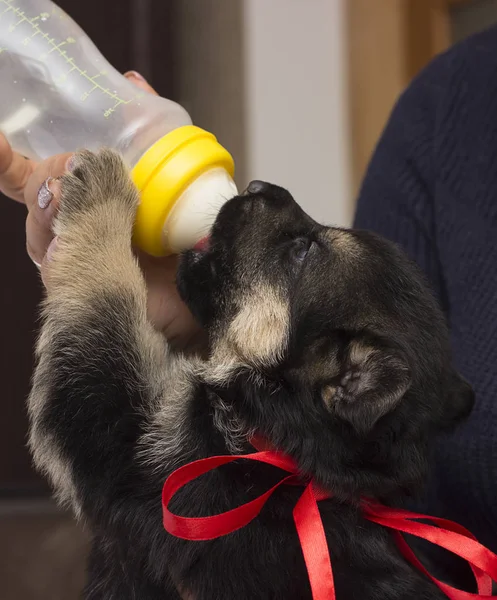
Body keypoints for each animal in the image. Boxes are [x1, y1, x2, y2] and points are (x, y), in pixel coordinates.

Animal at [27, 150, 472, 600]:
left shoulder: (125, 440)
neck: (278, 445)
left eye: (301, 251)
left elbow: (104, 293)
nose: (258, 186)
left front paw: (102, 191)